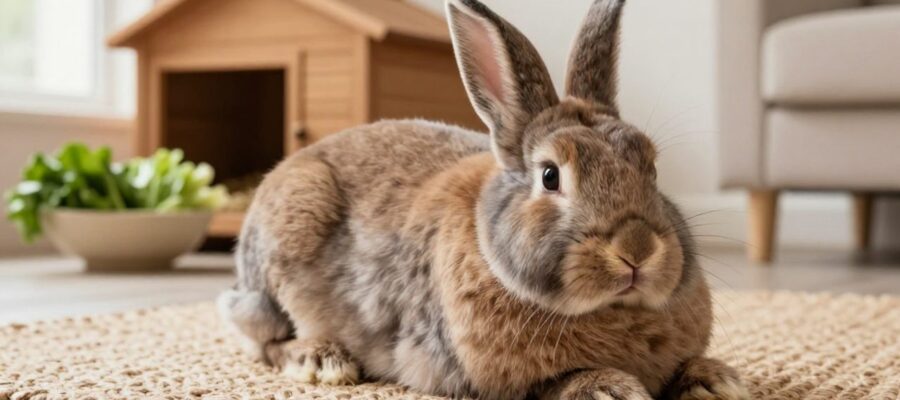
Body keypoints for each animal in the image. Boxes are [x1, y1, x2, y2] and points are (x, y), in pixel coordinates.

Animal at [217, 0, 750, 399]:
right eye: (550, 177)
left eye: (650, 165)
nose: (636, 249)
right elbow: (557, 382)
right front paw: (609, 388)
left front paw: (717, 380)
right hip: (285, 249)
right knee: (265, 339)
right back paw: (322, 360)